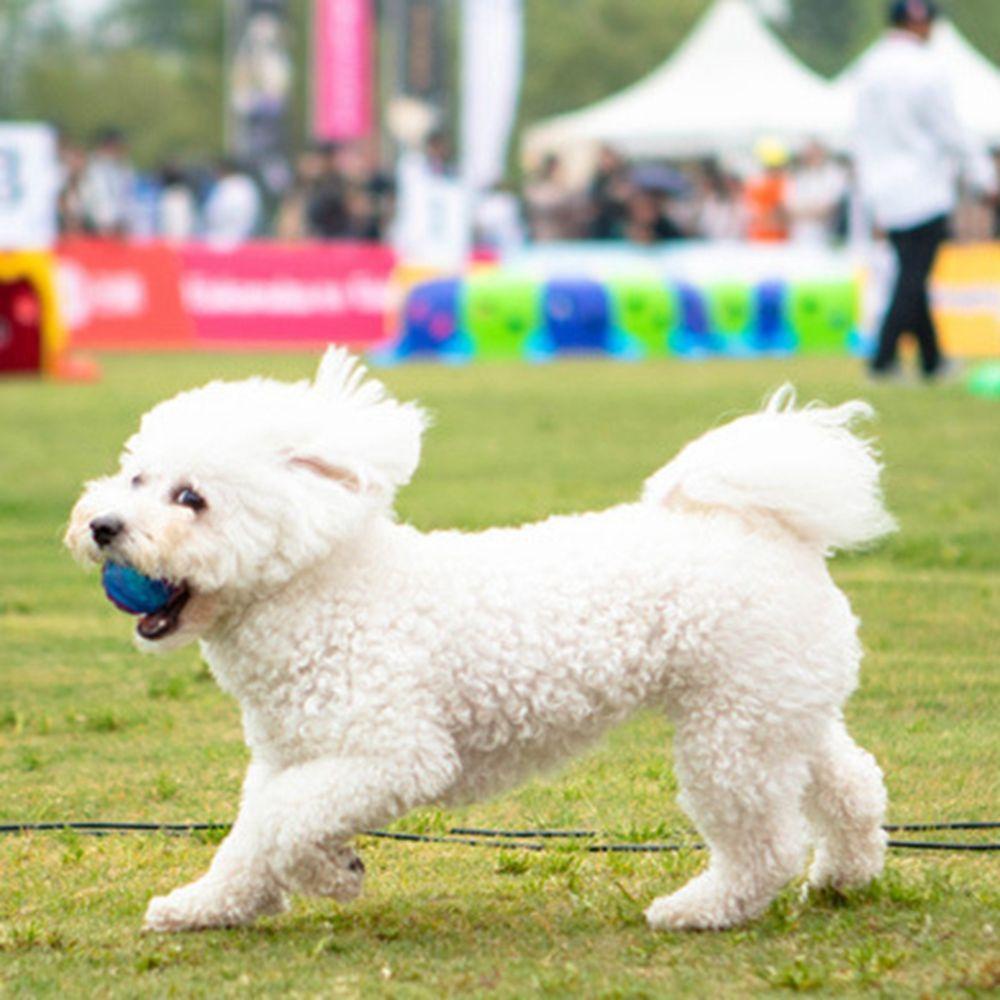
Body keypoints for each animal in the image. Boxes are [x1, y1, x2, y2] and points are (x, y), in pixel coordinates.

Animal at [66, 348, 896, 932]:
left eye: (191, 498)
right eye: (136, 477)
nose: (102, 526)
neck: (320, 592)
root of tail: (765, 526)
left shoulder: (394, 754)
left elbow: (281, 826)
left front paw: (330, 874)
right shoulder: (288, 758)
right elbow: (252, 834)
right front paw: (208, 904)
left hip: (730, 731)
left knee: (765, 841)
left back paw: (701, 908)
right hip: (777, 706)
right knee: (851, 782)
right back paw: (843, 875)